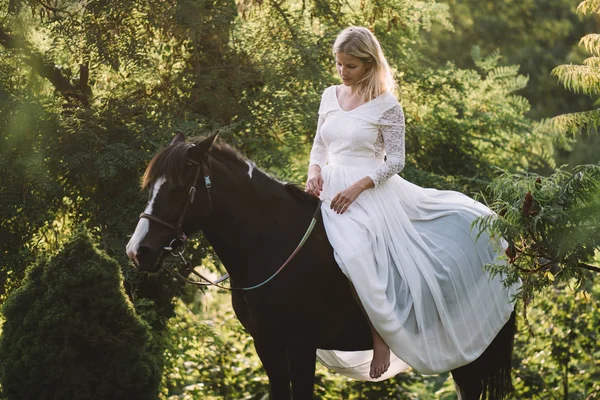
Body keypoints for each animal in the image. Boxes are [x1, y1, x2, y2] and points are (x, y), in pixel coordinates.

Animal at [125, 134, 516, 400]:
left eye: (179, 188)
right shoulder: (266, 343)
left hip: (474, 343)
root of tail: (495, 225)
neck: (274, 244)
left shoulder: (300, 344)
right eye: (150, 185)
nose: (138, 250)